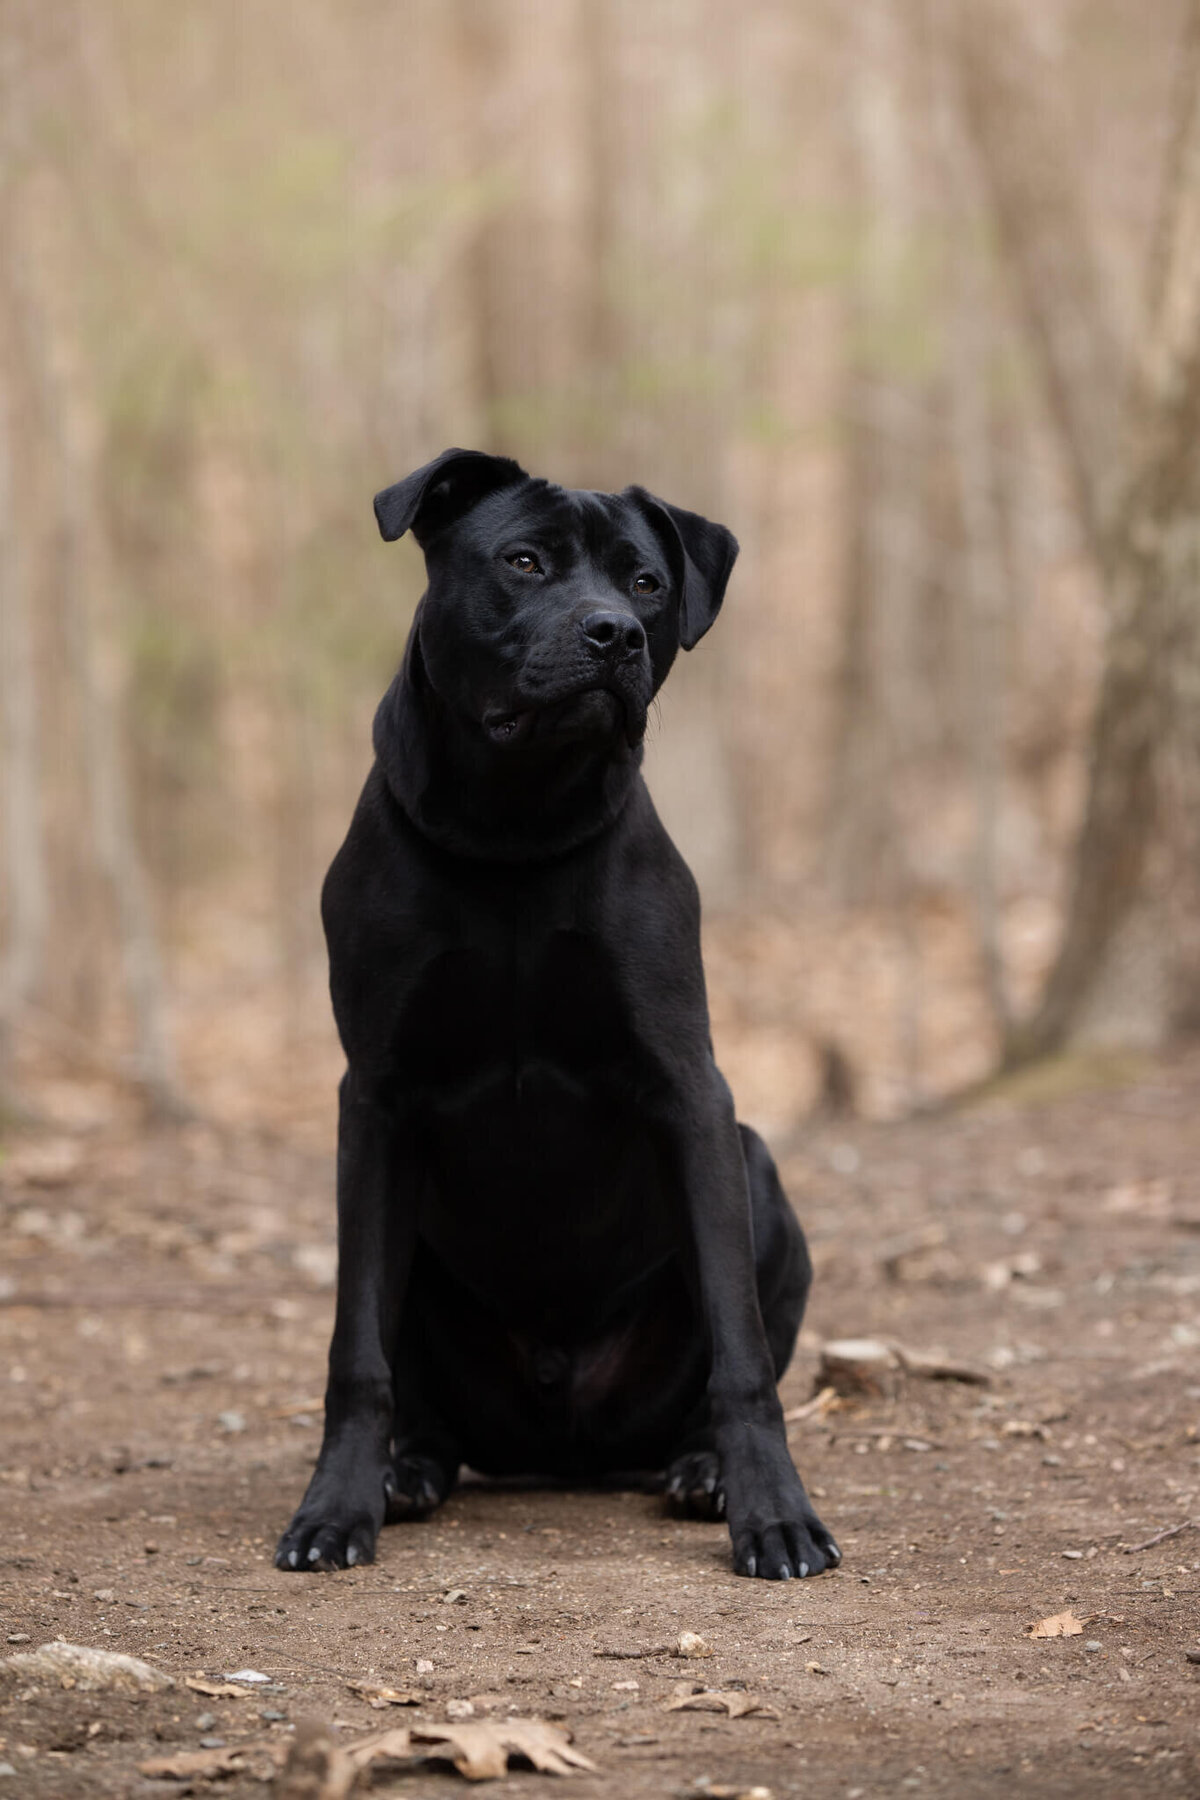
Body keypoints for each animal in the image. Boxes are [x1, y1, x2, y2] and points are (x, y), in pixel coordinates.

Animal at [277, 446, 841, 1576]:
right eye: (525, 562)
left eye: (647, 584)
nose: (612, 634)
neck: (516, 823)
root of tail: (563, 1442)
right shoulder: (376, 1103)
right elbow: (355, 1349)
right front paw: (334, 1508)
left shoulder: (691, 1093)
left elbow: (744, 1355)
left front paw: (774, 1512)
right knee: (422, 1401)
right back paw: (408, 1471)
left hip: (756, 1168)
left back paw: (704, 1469)